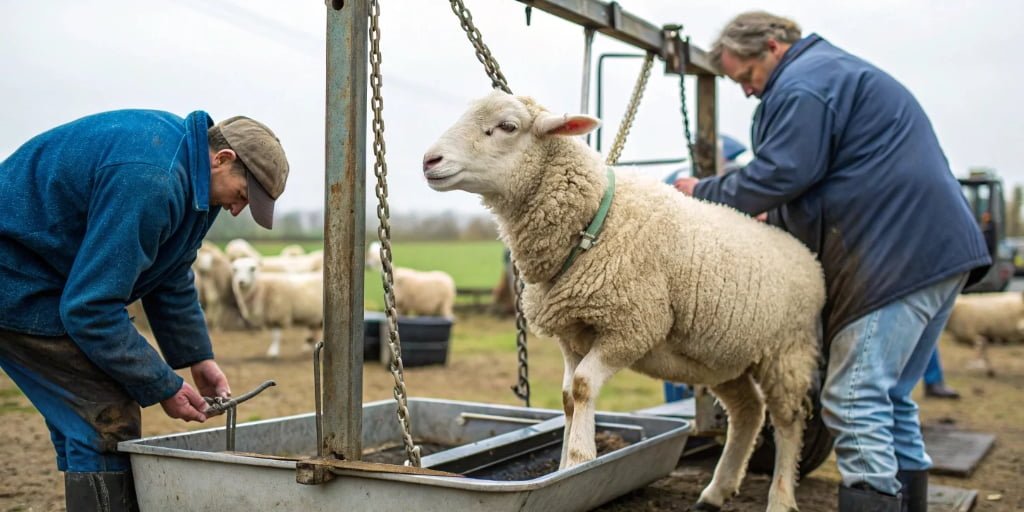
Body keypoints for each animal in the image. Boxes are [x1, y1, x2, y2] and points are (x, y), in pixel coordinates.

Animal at [422, 91, 826, 512]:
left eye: (507, 126)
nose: (429, 161)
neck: (592, 220)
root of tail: (805, 255)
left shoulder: (634, 327)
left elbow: (583, 386)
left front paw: (580, 459)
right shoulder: (572, 331)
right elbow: (567, 397)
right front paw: (566, 469)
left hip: (787, 351)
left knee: (788, 421)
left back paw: (780, 496)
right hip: (723, 356)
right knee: (748, 410)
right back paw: (717, 490)